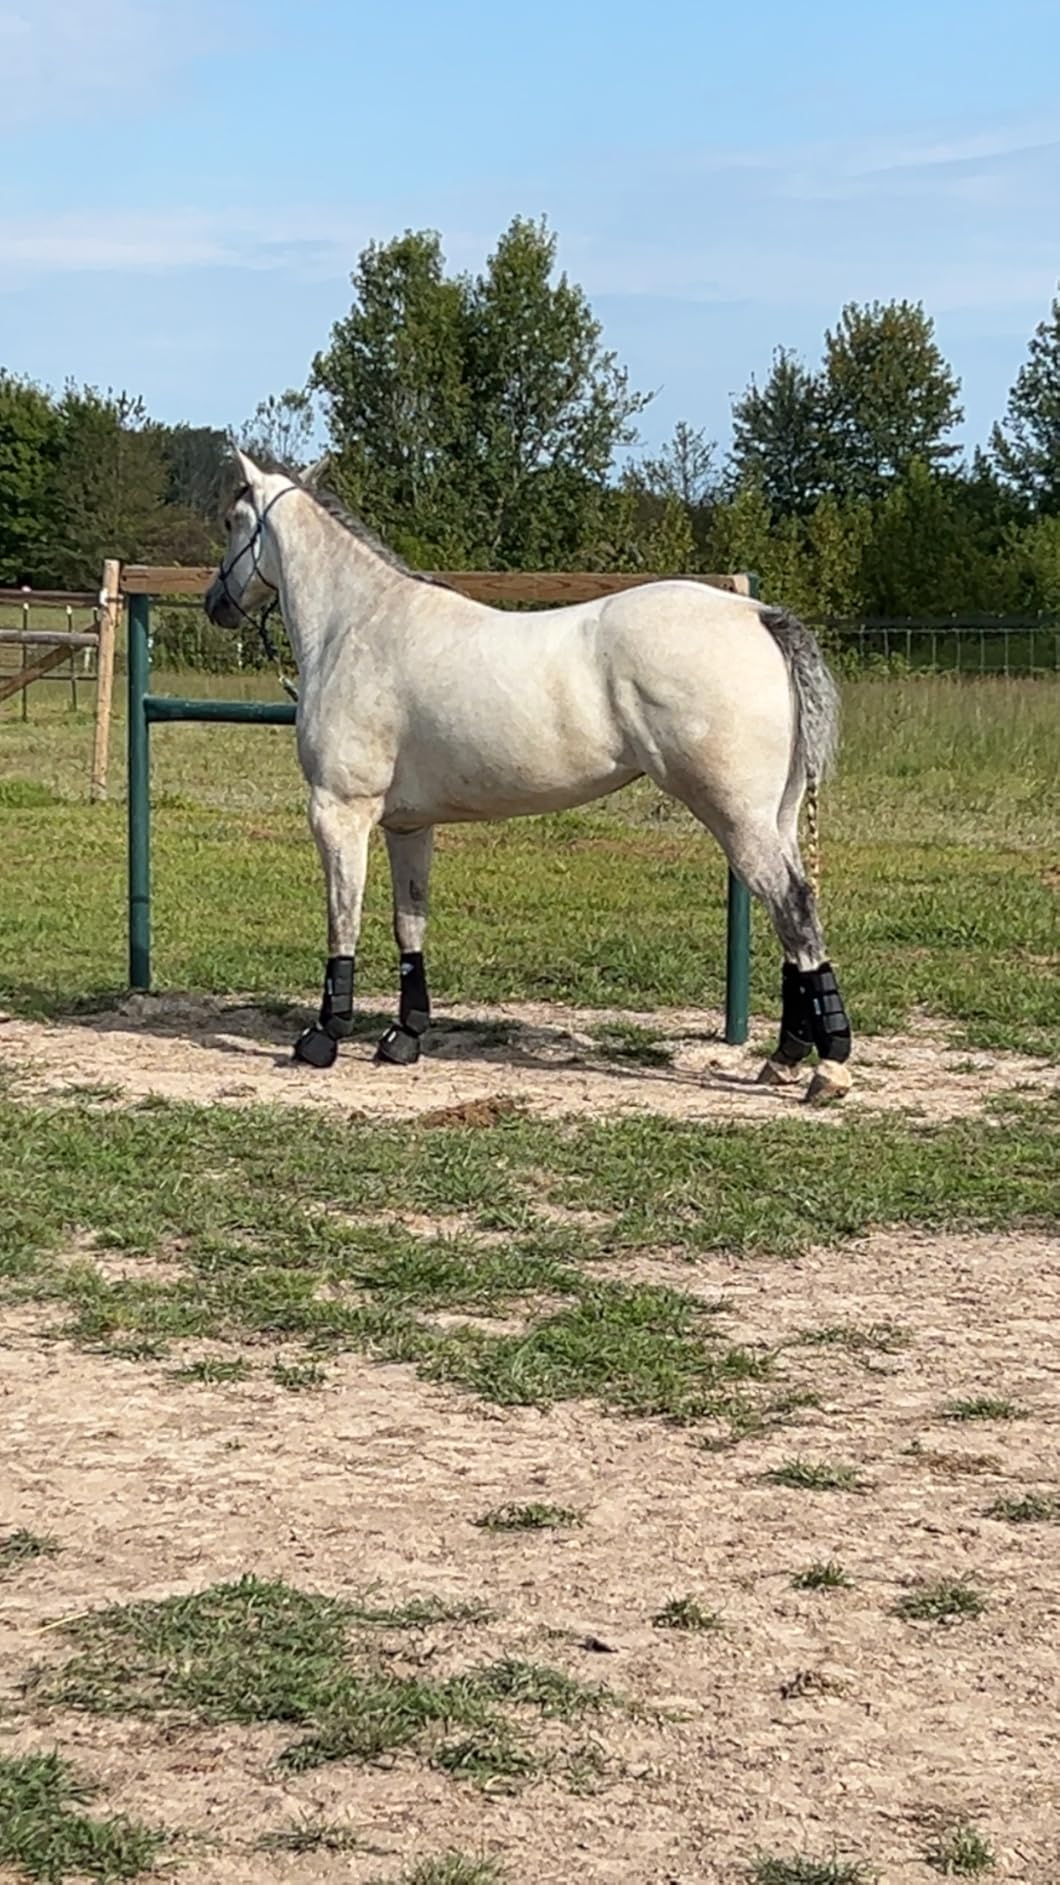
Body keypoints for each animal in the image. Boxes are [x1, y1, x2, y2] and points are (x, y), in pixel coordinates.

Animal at [205, 450, 852, 1101]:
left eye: (234, 520)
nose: (217, 604)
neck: (358, 624)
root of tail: (759, 616)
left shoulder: (340, 811)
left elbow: (344, 920)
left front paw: (322, 1037)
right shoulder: (407, 826)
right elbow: (408, 923)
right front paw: (404, 1038)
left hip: (737, 819)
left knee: (793, 908)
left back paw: (829, 1067)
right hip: (776, 818)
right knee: (796, 914)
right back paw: (787, 1057)